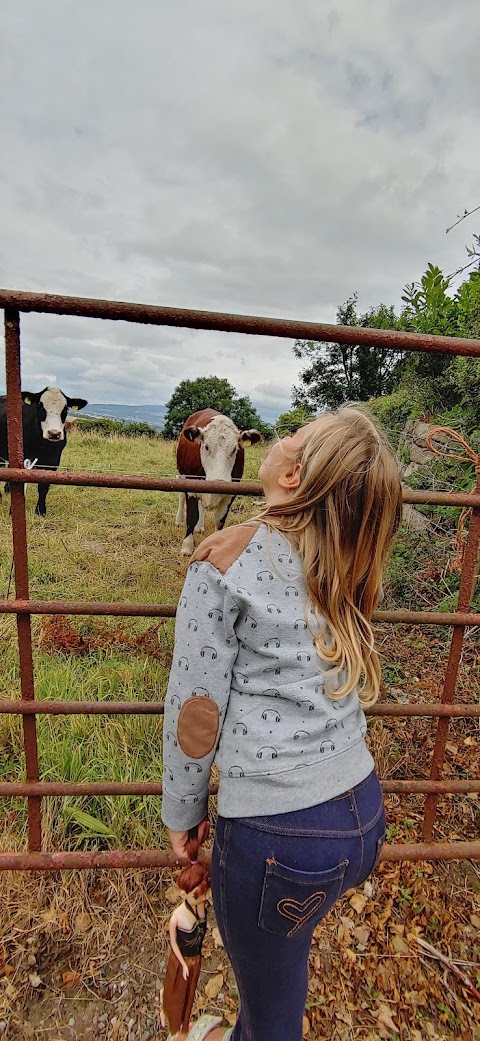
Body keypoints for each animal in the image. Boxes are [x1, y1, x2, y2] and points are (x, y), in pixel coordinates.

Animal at [0, 387, 87, 516]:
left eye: (65, 409)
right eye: (40, 406)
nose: (54, 433)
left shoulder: (53, 461)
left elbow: (44, 486)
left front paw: (40, 510)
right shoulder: (25, 458)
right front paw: (13, 511)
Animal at [173, 408, 262, 557]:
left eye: (234, 449)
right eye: (206, 447)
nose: (219, 481)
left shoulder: (231, 493)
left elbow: (219, 520)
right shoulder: (191, 487)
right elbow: (192, 516)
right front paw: (187, 547)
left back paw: (199, 527)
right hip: (182, 473)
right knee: (181, 496)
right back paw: (179, 520)